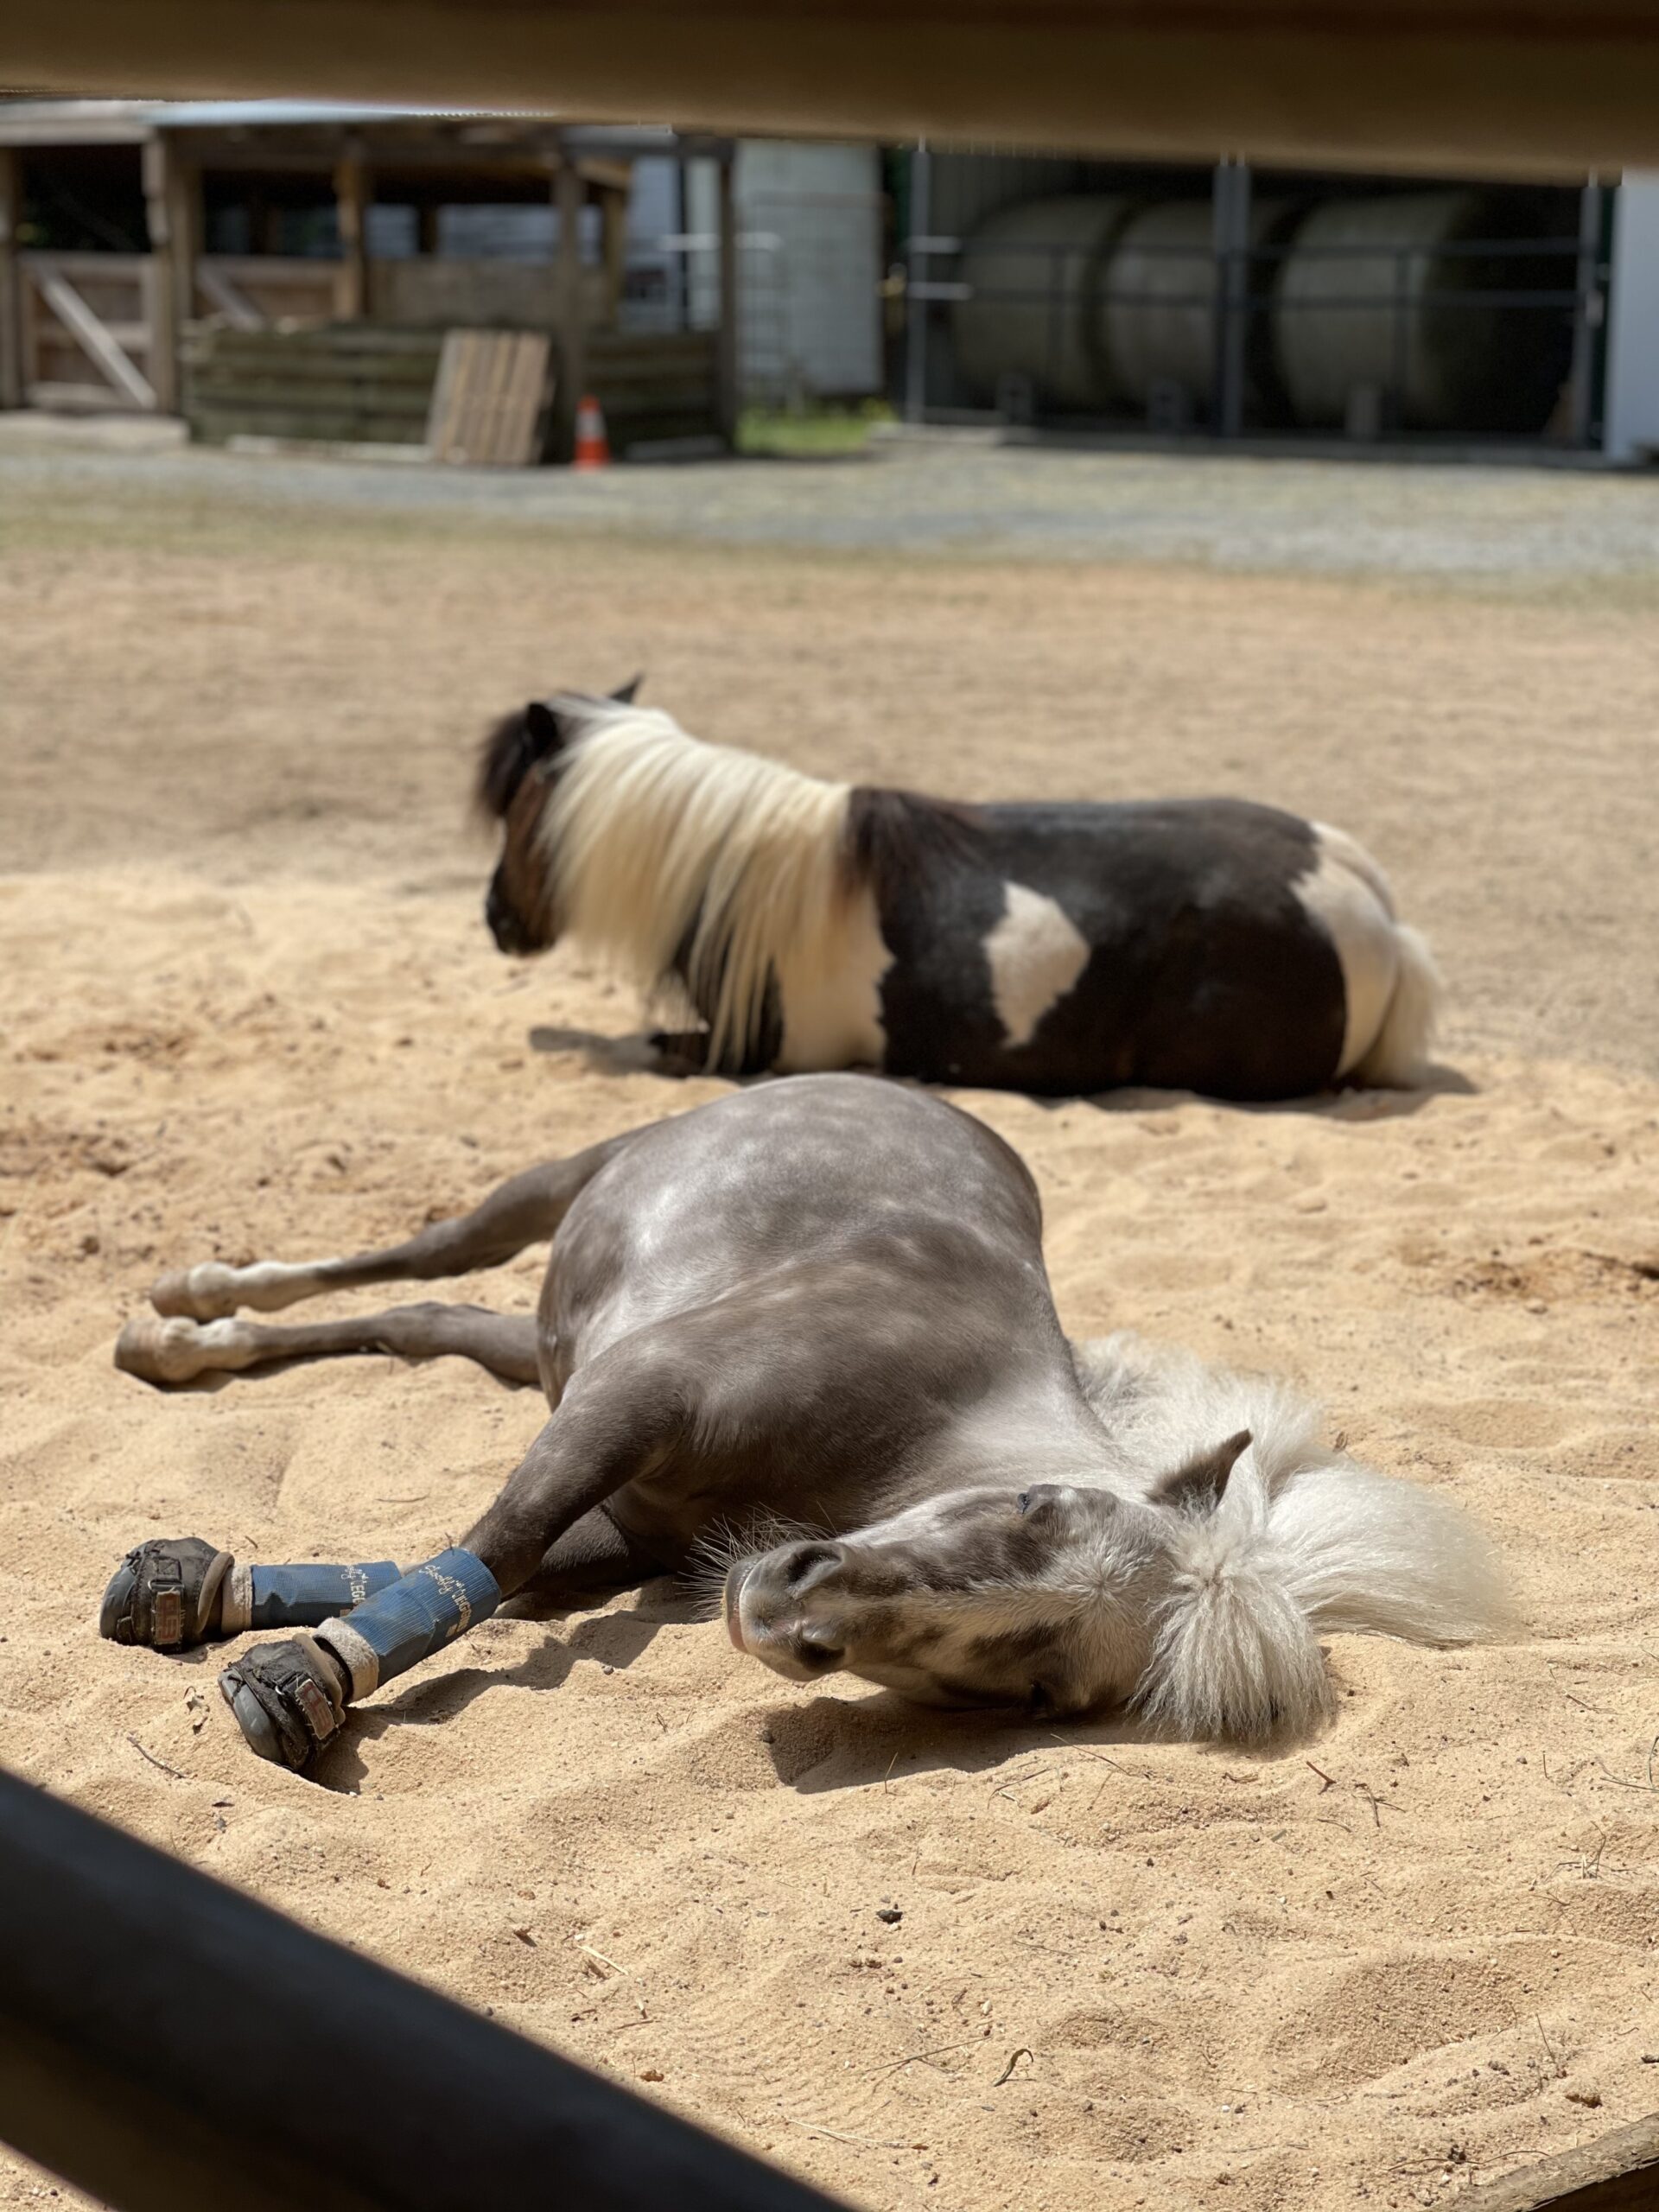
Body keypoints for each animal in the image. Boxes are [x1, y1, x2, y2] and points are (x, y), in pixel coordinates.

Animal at [100, 1071, 1503, 1760]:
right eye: (1034, 1506)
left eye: (1039, 1684)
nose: (789, 1611)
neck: (914, 1420)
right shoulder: (635, 1395)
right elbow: (495, 1547)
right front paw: (303, 1678)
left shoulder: (631, 1507)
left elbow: (493, 1561)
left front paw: (204, 1590)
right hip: (566, 1181)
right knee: (423, 1256)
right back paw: (186, 1312)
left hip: (549, 1339)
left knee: (426, 1320)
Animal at [480, 685, 1442, 1101]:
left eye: (519, 811)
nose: (495, 918)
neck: (747, 882)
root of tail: (1362, 892)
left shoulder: (749, 1051)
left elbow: (649, 1047)